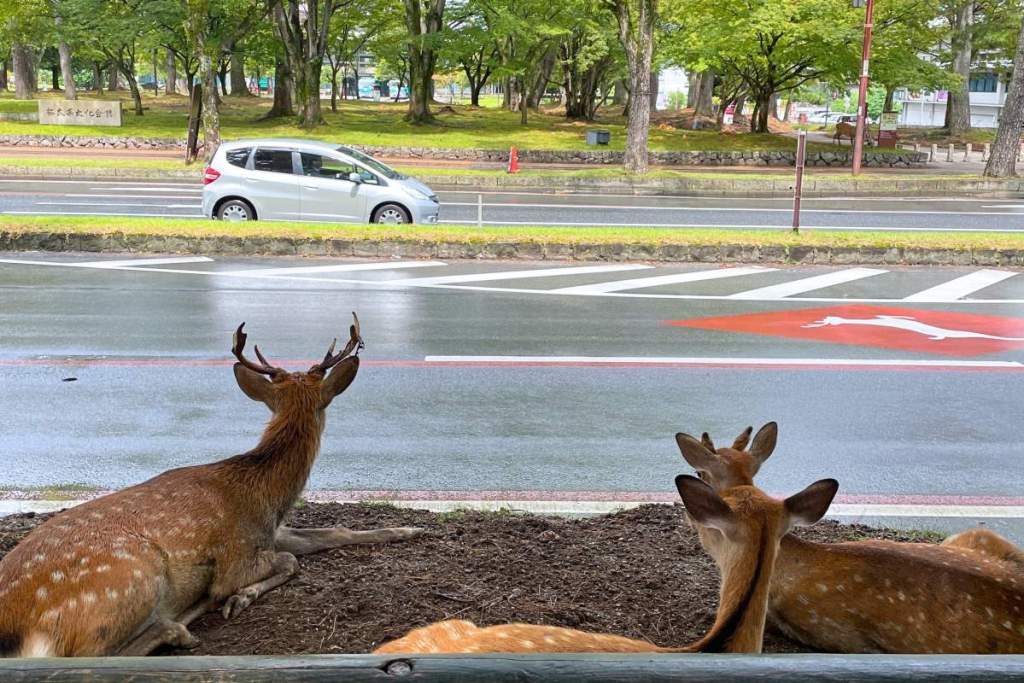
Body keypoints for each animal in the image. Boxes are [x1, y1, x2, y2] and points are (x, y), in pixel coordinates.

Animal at [0, 315, 422, 657]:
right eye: (230, 577)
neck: (265, 495)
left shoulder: (269, 531)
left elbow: (334, 531)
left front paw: (408, 529)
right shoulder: (238, 553)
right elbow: (289, 561)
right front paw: (239, 597)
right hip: (128, 578)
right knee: (93, 653)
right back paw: (179, 626)